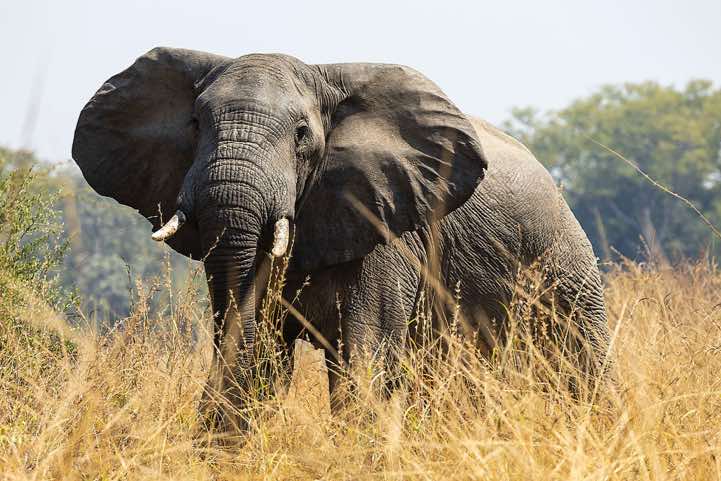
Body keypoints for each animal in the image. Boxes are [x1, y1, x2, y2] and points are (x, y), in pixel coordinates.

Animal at [72, 47, 609, 429]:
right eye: (195, 124)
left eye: (301, 134)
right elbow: (262, 353)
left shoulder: (389, 223)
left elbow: (364, 355)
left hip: (565, 264)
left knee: (582, 364)